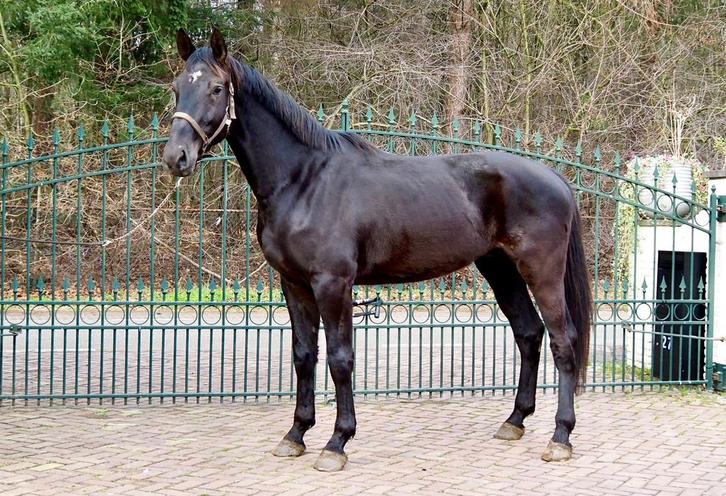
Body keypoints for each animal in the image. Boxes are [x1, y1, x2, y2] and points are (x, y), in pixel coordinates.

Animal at [162, 28, 592, 472]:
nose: (176, 157)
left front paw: (337, 442)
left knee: (563, 341)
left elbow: (340, 359)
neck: (303, 180)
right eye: (177, 88)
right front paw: (296, 434)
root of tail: (556, 178)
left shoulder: (333, 284)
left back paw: (560, 437)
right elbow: (303, 356)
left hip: (541, 270)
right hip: (500, 269)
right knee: (528, 333)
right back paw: (515, 420)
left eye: (216, 89)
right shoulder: (293, 284)